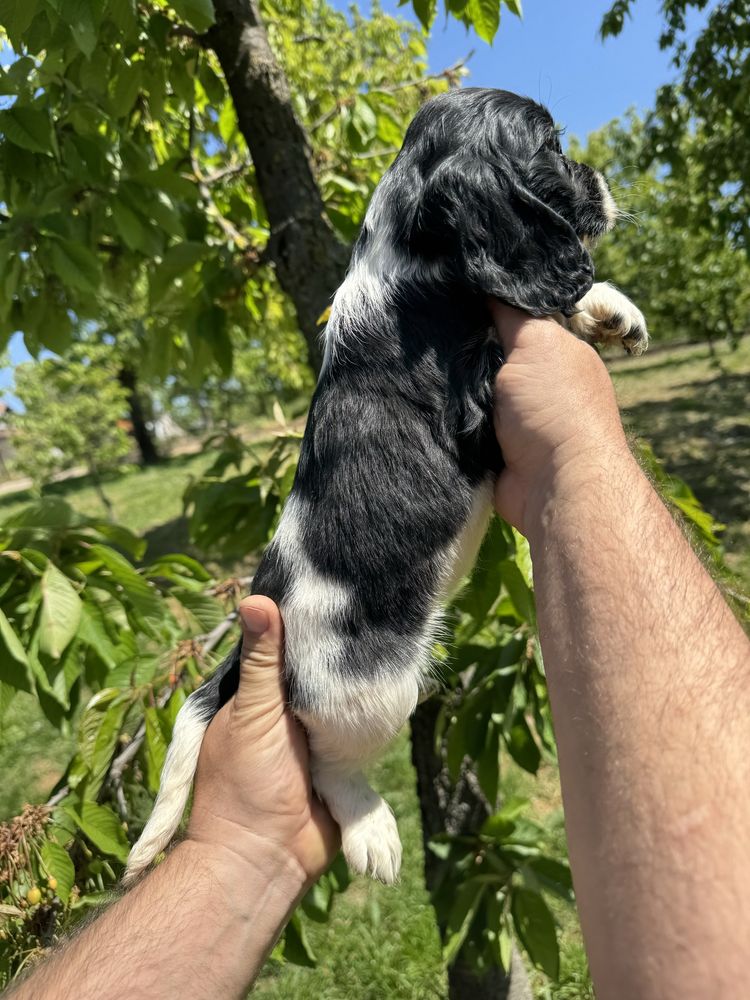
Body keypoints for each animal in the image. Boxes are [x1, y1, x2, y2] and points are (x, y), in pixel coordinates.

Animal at [126, 86, 648, 884]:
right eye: (553, 145)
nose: (600, 179)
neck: (404, 260)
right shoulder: (480, 397)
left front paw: (611, 309)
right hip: (369, 689)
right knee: (328, 764)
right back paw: (373, 832)